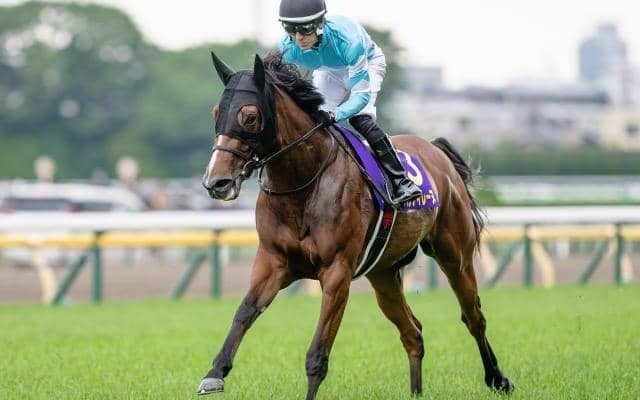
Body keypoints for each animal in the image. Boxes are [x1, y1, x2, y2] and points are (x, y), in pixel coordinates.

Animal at [199, 52, 514, 399]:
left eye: (250, 117)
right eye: (216, 113)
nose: (216, 182)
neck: (303, 186)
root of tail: (436, 151)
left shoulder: (337, 272)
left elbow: (317, 354)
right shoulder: (273, 262)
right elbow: (244, 312)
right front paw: (214, 374)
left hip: (454, 256)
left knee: (474, 317)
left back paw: (498, 378)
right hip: (384, 274)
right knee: (413, 333)